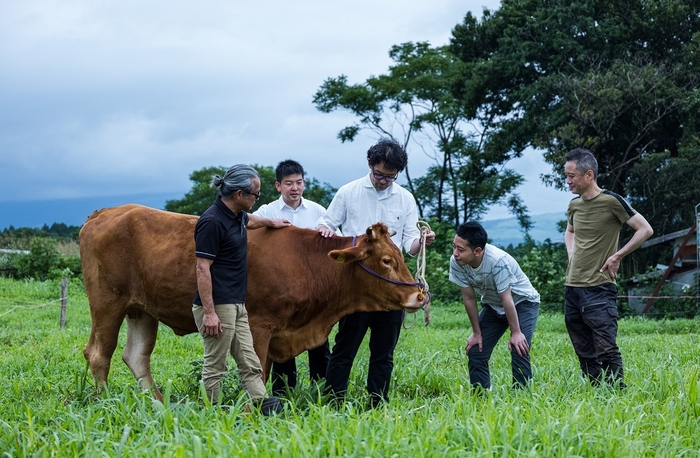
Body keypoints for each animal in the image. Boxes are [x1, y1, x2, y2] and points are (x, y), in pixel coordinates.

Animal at [80, 204, 426, 400]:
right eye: (386, 261)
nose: (418, 295)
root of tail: (105, 212)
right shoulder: (259, 325)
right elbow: (256, 370)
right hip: (107, 303)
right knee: (99, 353)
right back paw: (104, 401)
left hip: (141, 310)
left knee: (136, 356)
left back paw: (157, 403)